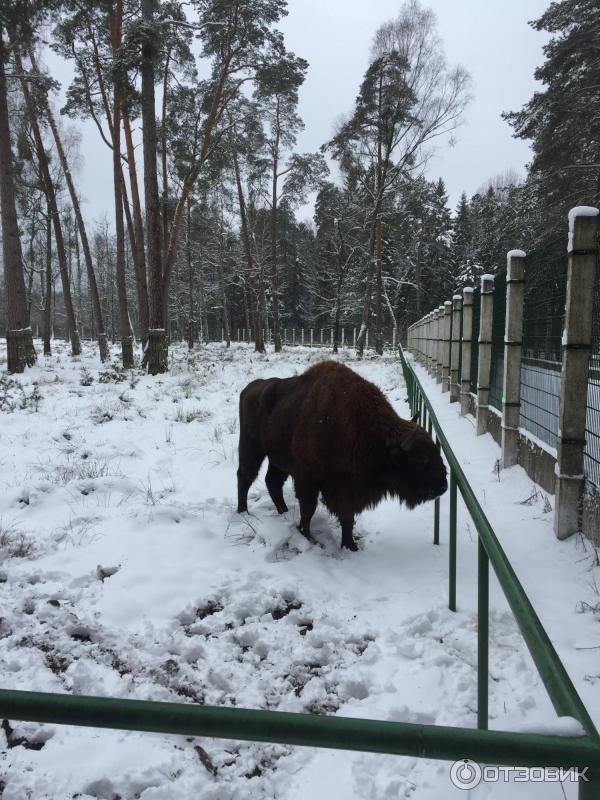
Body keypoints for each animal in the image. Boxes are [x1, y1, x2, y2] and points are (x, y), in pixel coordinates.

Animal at [237, 360, 448, 552]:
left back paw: (283, 511)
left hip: (277, 459)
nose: (442, 487)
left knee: (272, 481)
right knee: (245, 475)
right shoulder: (307, 478)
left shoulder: (348, 488)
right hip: (251, 447)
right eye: (421, 460)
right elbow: (308, 509)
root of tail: (249, 388)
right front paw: (306, 536)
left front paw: (350, 546)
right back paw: (243, 512)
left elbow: (348, 517)